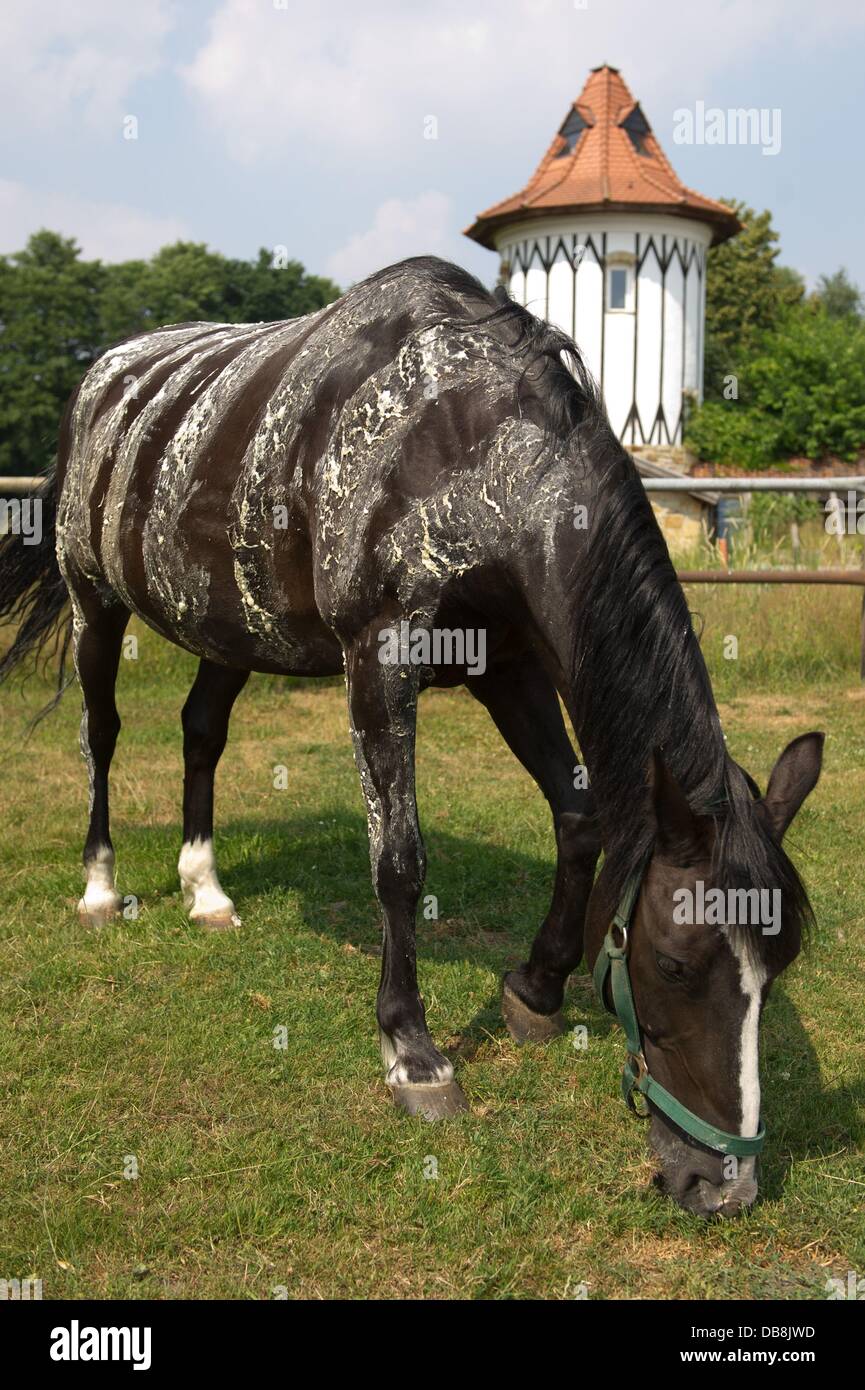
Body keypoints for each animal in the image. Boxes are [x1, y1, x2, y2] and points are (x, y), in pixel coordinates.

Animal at [0, 256, 823, 1217]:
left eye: (777, 965)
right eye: (673, 962)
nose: (722, 1187)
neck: (466, 445)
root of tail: (102, 377)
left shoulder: (510, 666)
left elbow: (578, 817)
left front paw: (535, 989)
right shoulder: (380, 660)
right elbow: (398, 860)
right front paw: (414, 1053)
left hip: (226, 626)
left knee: (201, 732)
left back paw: (205, 891)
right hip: (94, 603)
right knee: (101, 733)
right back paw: (100, 888)